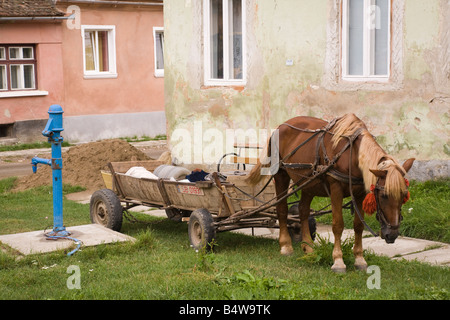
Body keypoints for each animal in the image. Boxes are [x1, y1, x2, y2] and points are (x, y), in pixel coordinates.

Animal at [248, 114, 414, 272]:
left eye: (403, 197)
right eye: (384, 196)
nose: (392, 235)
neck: (351, 154)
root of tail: (280, 126)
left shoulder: (359, 194)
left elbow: (358, 225)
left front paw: (359, 259)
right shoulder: (336, 189)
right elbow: (338, 225)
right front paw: (338, 261)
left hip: (309, 181)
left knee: (303, 211)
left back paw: (308, 246)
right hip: (281, 174)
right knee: (282, 209)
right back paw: (286, 246)